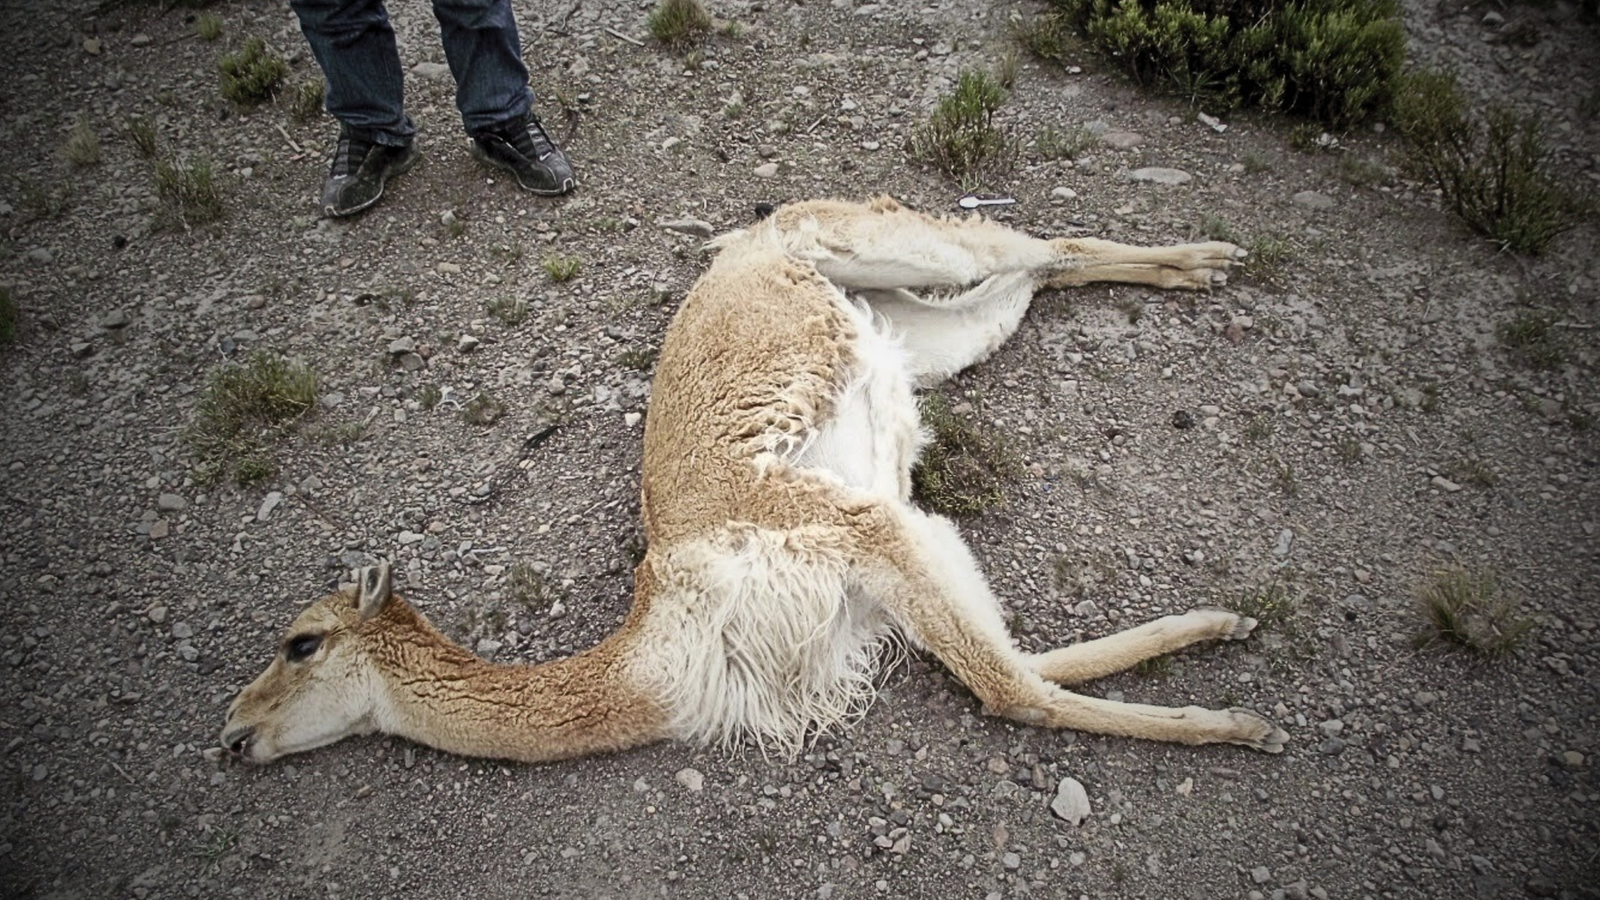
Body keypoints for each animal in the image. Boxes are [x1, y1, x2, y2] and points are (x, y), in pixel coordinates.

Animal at [221, 196, 1289, 766]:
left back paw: (1210, 256)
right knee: (1031, 278)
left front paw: (1240, 723)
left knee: (1039, 246)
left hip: (892, 244)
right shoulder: (886, 569)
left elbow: (1011, 689)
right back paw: (1194, 272)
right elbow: (1031, 663)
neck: (664, 661)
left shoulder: (851, 523)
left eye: (300, 643)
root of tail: (748, 239)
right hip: (925, 328)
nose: (231, 732)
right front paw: (1218, 626)